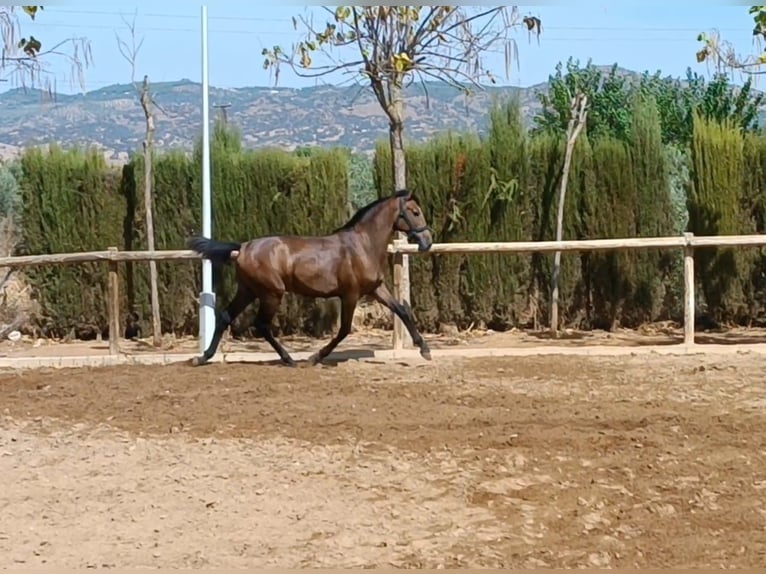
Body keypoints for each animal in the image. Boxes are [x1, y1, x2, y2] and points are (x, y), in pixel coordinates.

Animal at [186, 189, 436, 368]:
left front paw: (425, 350)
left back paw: (202, 357)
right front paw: (314, 357)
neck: (363, 244)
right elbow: (344, 330)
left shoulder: (375, 289)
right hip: (271, 293)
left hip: (248, 290)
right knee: (261, 324)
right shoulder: (350, 294)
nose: (427, 241)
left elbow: (403, 310)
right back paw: (289, 359)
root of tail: (243, 248)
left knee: (225, 316)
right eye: (415, 212)